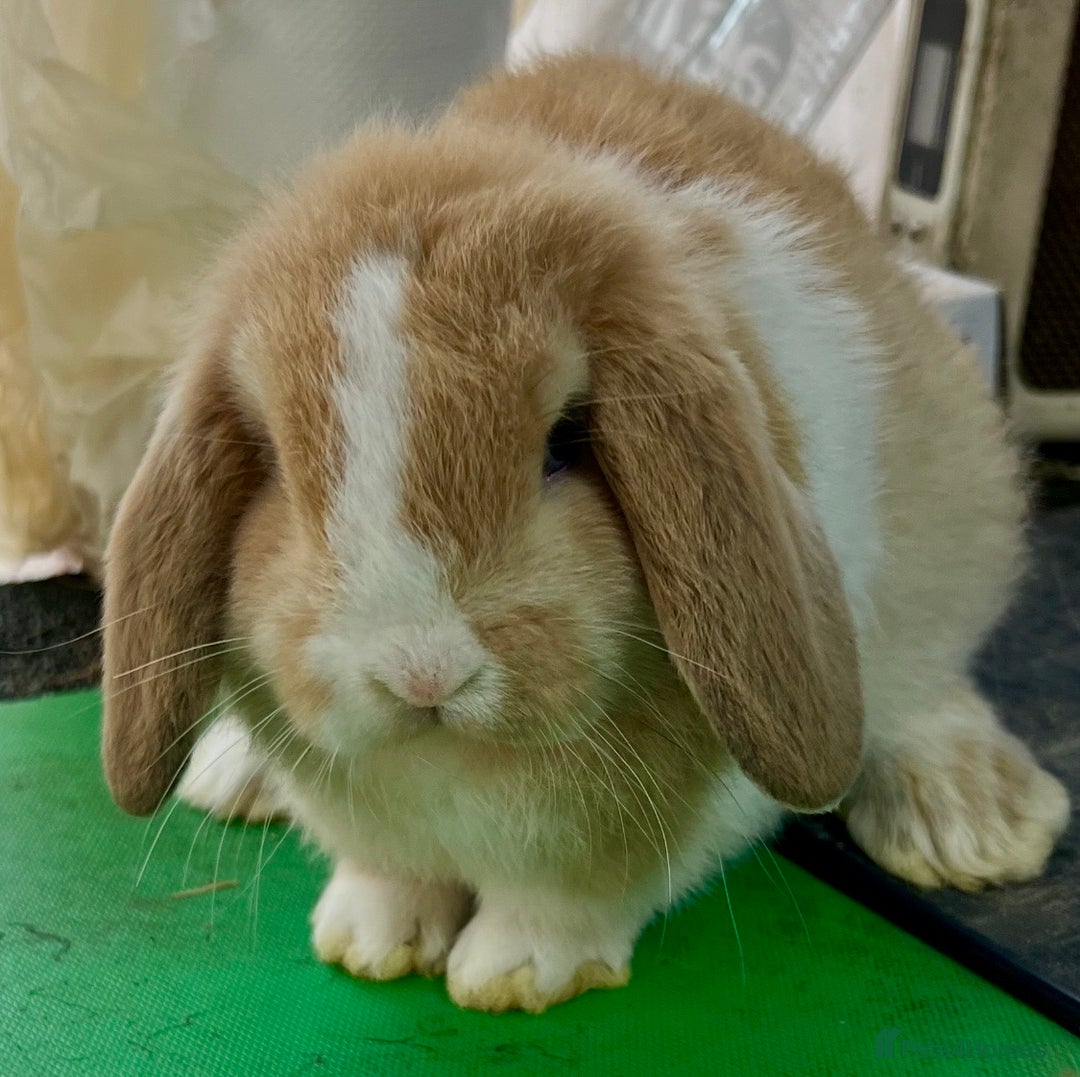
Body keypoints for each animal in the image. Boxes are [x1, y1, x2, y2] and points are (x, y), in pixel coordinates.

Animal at [101, 55, 1070, 1013]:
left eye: (567, 441)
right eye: (273, 459)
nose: (423, 672)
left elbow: (570, 900)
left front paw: (515, 974)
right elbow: (388, 876)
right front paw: (369, 942)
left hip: (954, 526)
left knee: (928, 683)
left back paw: (971, 824)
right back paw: (230, 778)